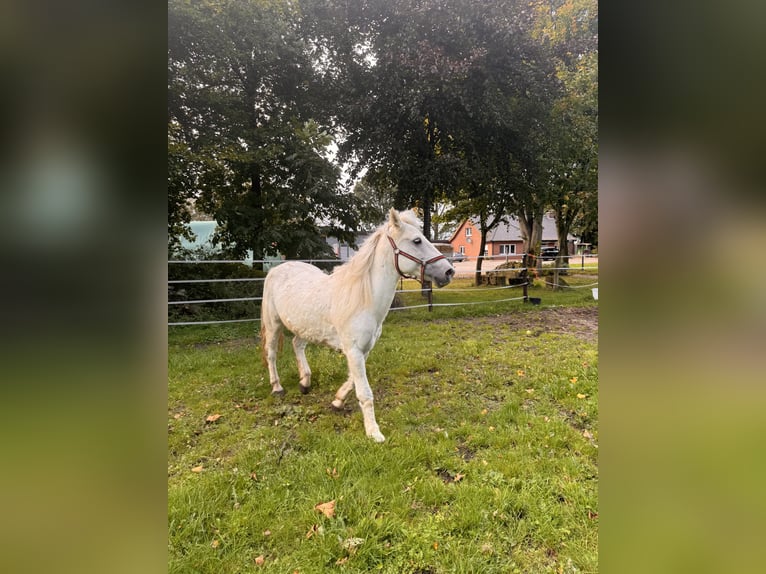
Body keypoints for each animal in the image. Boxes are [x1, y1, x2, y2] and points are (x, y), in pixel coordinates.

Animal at [262, 209, 456, 444]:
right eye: (417, 240)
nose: (449, 272)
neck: (363, 298)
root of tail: (276, 270)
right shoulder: (353, 350)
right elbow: (364, 392)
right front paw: (374, 432)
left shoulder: (363, 350)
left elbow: (352, 381)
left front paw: (337, 401)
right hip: (274, 324)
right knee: (271, 353)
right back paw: (277, 387)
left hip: (306, 328)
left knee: (297, 344)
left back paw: (305, 382)